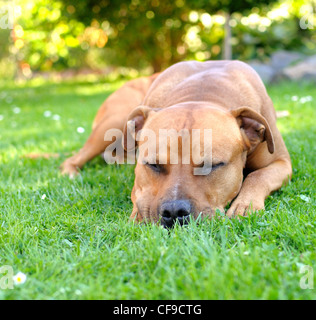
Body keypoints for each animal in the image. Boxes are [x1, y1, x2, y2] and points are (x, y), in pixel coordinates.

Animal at [60, 60, 292, 225]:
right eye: (153, 164)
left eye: (212, 166)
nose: (173, 212)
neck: (202, 93)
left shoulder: (282, 163)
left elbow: (258, 176)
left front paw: (245, 204)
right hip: (113, 123)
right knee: (72, 159)